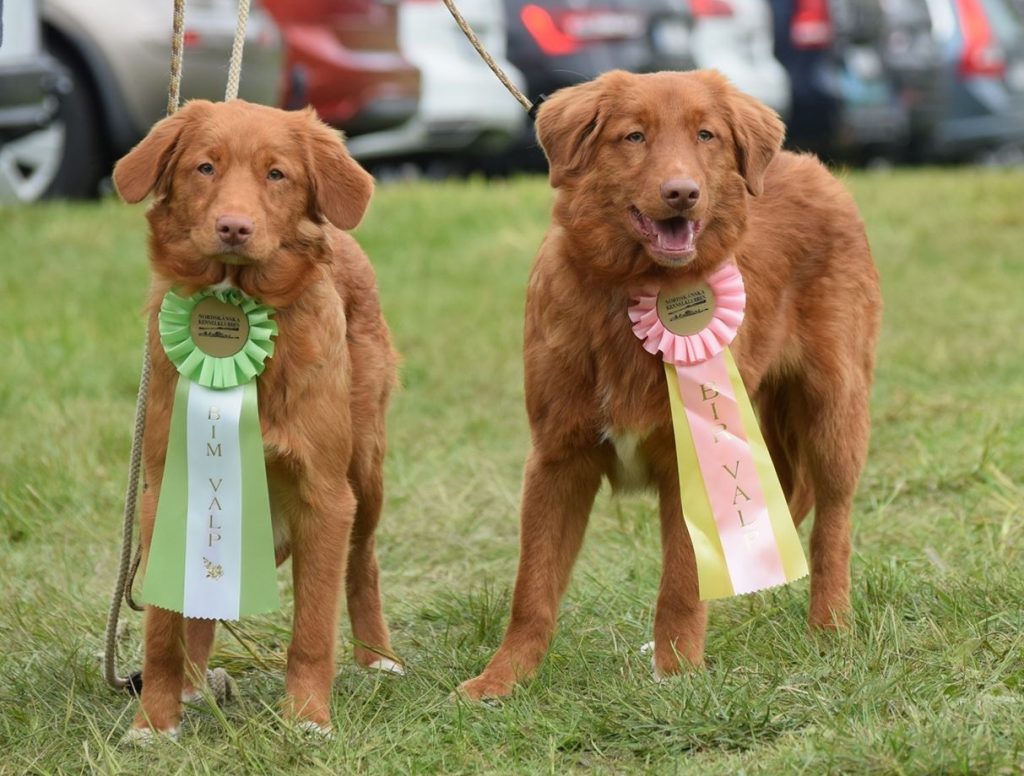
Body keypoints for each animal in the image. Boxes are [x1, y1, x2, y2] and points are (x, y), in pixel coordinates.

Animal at [113, 100, 399, 737]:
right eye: (205, 167)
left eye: (277, 174)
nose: (234, 227)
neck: (237, 305)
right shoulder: (164, 491)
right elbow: (163, 627)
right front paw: (155, 721)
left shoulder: (325, 494)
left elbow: (313, 627)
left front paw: (308, 717)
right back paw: (194, 684)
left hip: (365, 469)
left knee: (364, 561)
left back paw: (378, 657)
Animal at [456, 71, 880, 704]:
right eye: (634, 136)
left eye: (706, 135)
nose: (682, 193)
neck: (633, 290)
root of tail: (814, 169)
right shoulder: (557, 458)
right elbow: (532, 589)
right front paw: (503, 679)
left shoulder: (690, 462)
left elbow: (680, 582)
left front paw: (678, 676)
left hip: (833, 409)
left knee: (833, 525)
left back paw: (830, 626)